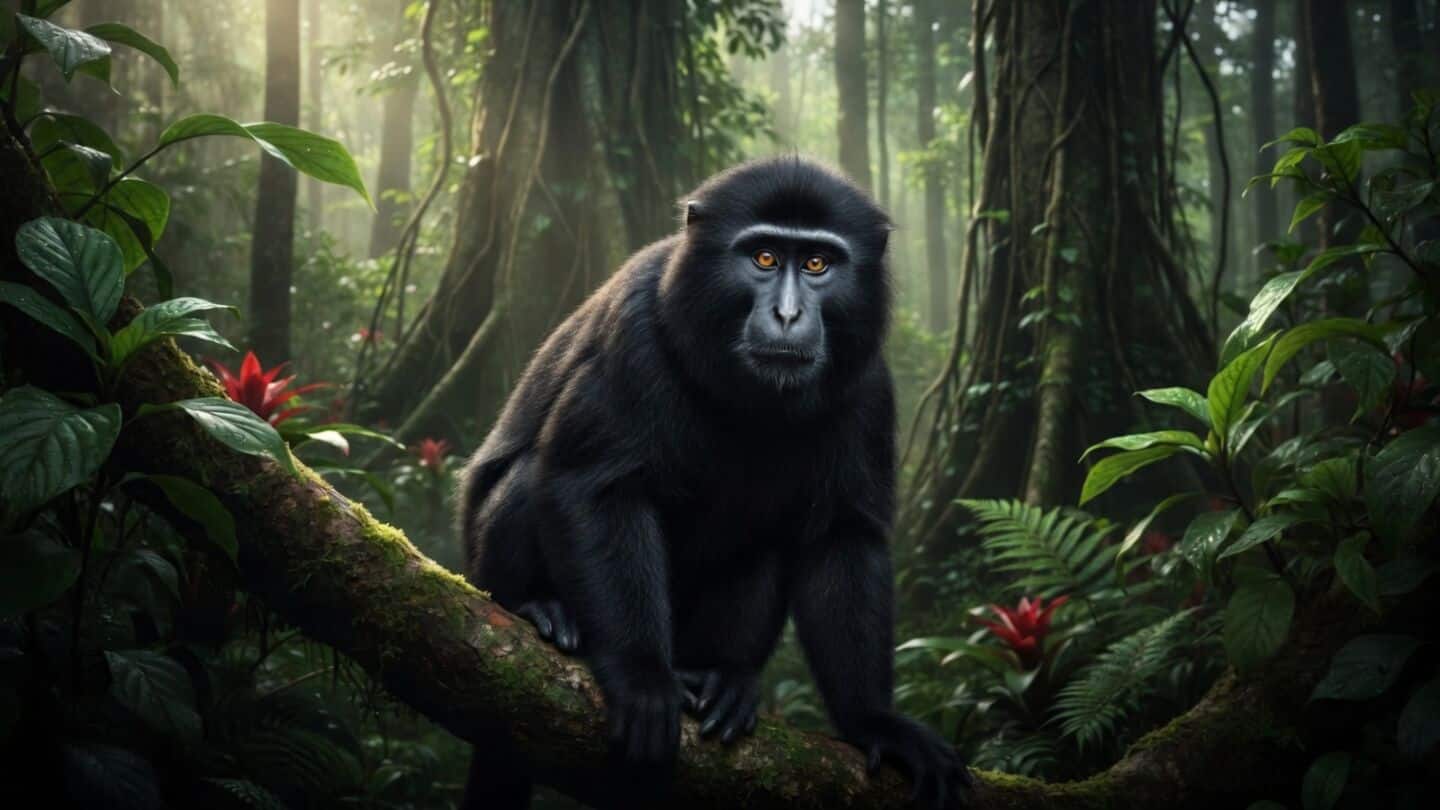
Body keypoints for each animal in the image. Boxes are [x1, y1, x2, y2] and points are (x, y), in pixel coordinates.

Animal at [457, 156, 970, 809]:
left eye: (818, 263)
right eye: (764, 258)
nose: (787, 316)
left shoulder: (867, 383)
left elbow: (842, 536)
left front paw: (874, 721)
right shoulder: (636, 331)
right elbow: (592, 486)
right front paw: (641, 677)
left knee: (766, 544)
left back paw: (727, 679)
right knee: (528, 480)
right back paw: (539, 609)